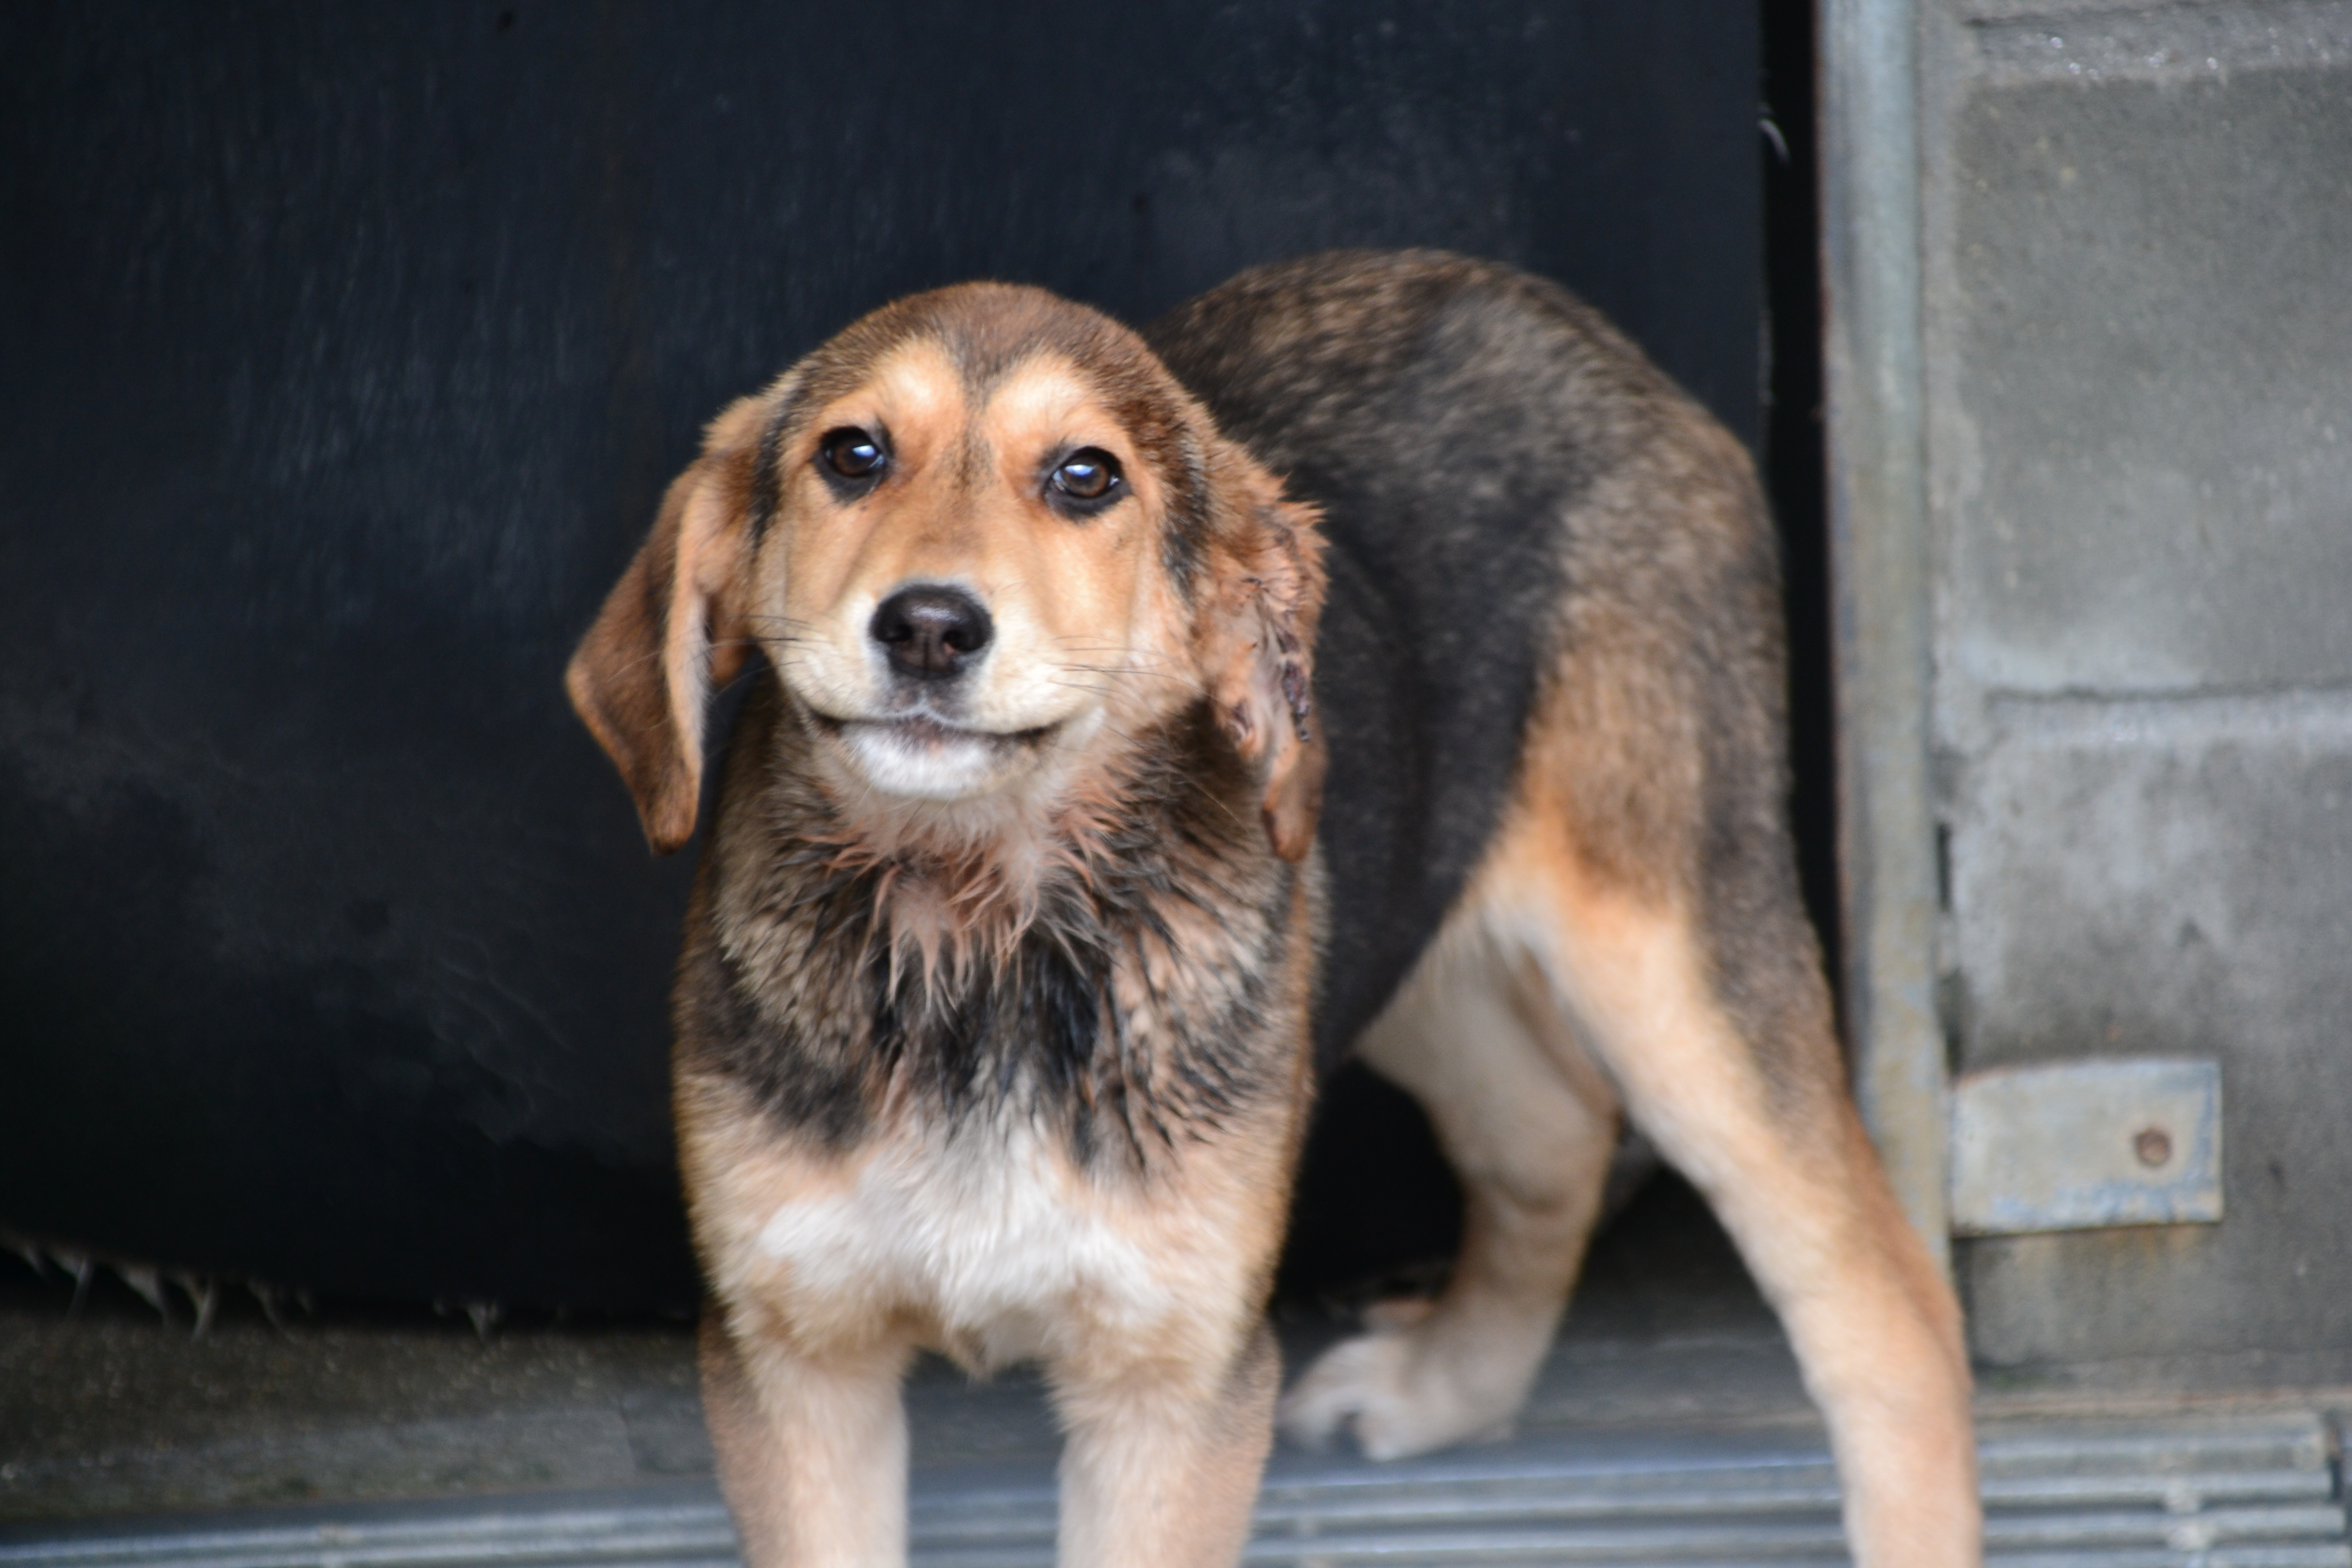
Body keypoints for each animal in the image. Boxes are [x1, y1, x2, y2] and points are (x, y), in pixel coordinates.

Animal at [566, 250, 1979, 1567]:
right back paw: (1442, 1389)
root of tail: (1548, 314)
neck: (977, 932)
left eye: (1087, 477)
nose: (926, 628)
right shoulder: (794, 1357)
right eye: (850, 454)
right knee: (1552, 1129)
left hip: (1674, 943)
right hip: (1395, 943)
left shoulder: (1176, 1382)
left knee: (1892, 1305)